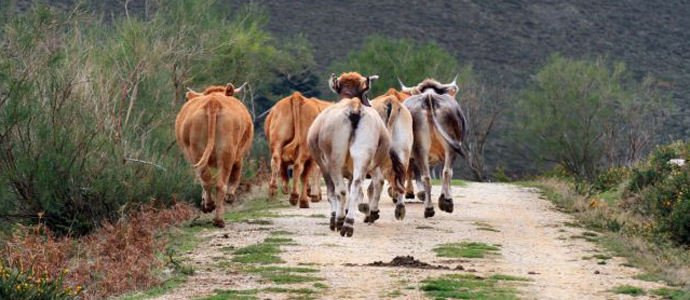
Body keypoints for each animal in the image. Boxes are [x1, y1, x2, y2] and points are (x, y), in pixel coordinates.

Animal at [176, 82, 254, 227]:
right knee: (219, 183)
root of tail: (213, 102)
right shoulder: (239, 156)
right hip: (227, 151)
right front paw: (230, 196)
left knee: (206, 178)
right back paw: (217, 216)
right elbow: (235, 176)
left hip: (198, 150)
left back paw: (211, 208)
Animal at [398, 76, 468, 218]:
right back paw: (443, 203)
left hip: (421, 148)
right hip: (447, 147)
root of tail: (429, 97)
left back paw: (428, 207)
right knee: (444, 172)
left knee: (427, 175)